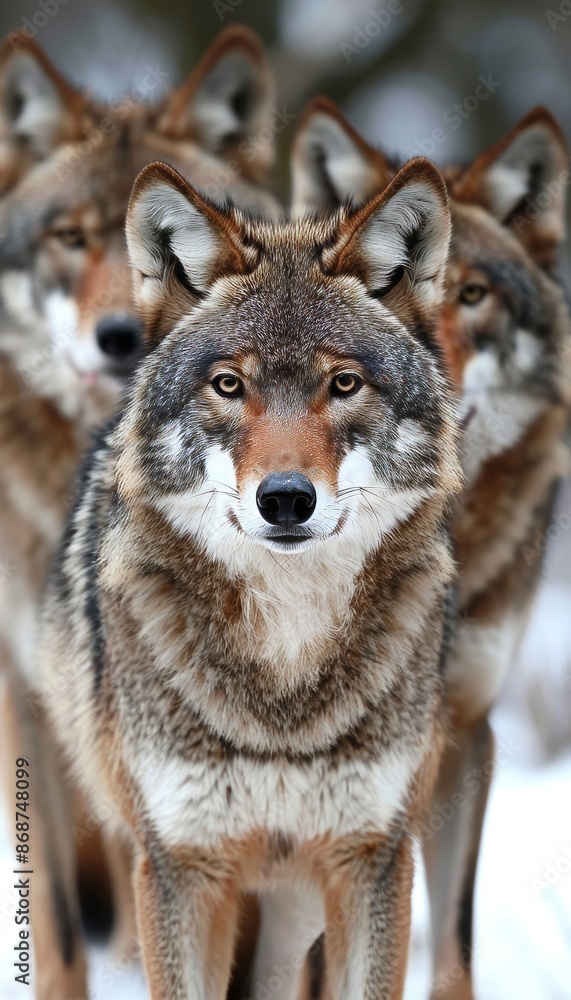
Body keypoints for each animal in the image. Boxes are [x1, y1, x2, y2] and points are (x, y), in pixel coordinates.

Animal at [39, 157, 461, 1000]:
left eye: (343, 384)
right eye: (229, 386)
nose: (286, 499)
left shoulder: (372, 858)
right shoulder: (180, 867)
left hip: (293, 908)